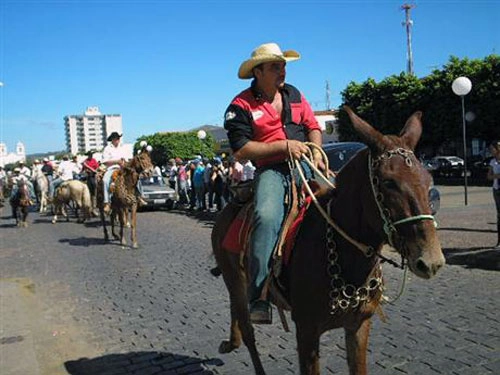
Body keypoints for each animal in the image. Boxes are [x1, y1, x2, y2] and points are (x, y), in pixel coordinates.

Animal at [211, 106, 446, 375]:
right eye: (389, 182)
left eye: (428, 179)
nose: (431, 260)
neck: (342, 254)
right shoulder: (306, 331)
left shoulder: (359, 325)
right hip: (235, 281)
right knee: (248, 329)